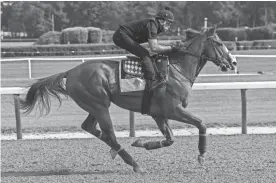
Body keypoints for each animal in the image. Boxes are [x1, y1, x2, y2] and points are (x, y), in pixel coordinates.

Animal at [19, 25, 237, 173]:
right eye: (219, 43)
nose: (233, 62)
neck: (178, 69)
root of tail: (70, 72)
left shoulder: (158, 113)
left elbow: (170, 139)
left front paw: (143, 143)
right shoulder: (173, 109)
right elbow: (201, 123)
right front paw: (201, 155)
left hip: (94, 105)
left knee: (90, 128)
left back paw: (116, 151)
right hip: (100, 106)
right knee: (109, 134)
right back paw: (134, 163)